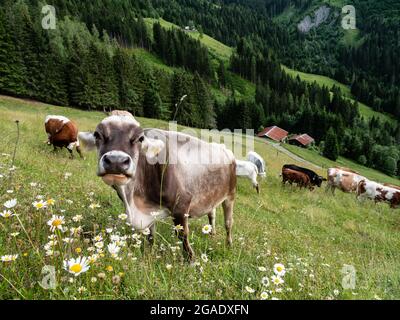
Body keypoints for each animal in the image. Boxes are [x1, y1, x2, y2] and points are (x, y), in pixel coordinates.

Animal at [77, 111, 238, 262]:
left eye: (140, 138)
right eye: (97, 134)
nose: (116, 161)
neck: (134, 201)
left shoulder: (181, 205)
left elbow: (182, 235)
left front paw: (192, 261)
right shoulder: (150, 210)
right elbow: (151, 235)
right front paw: (150, 253)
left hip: (230, 195)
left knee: (228, 223)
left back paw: (229, 244)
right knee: (212, 214)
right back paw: (212, 234)